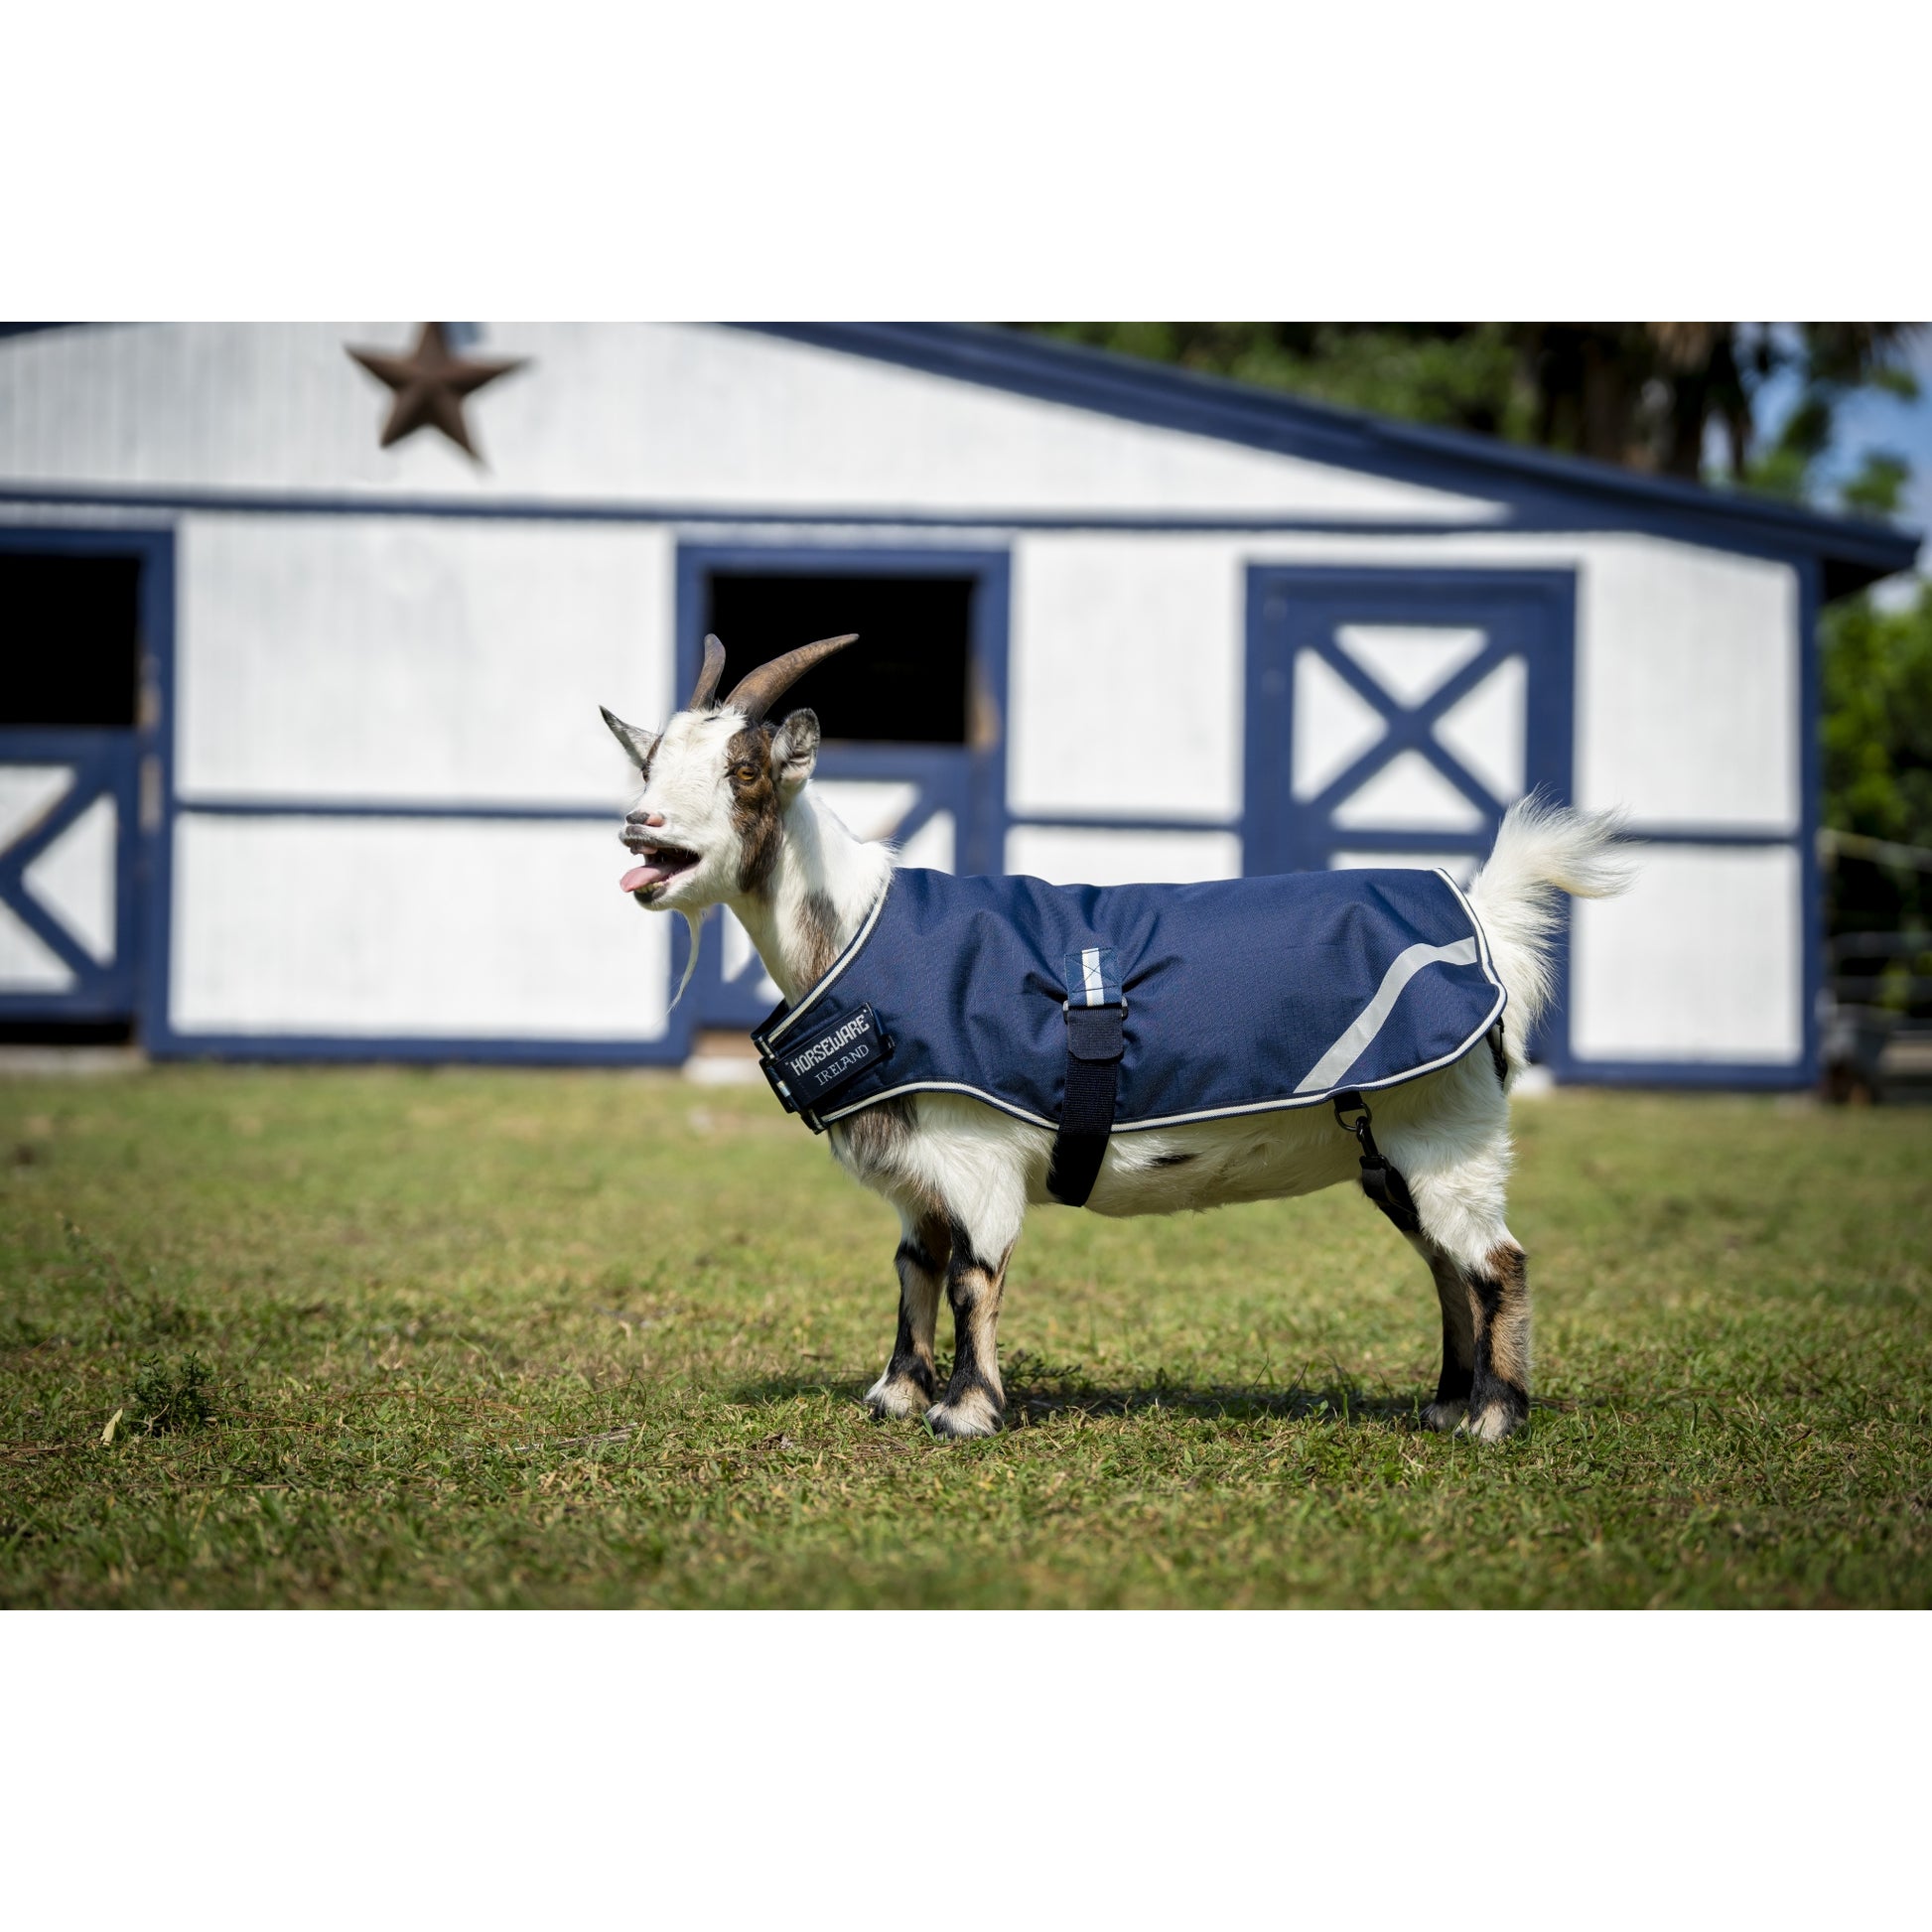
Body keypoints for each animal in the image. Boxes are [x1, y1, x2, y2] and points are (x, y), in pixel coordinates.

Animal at [603, 632, 1632, 1442]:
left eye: (743, 771)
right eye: (649, 764)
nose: (638, 828)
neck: (861, 929)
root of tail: (1481, 916)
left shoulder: (976, 1154)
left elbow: (974, 1275)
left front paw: (966, 1412)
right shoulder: (917, 1175)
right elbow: (914, 1270)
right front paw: (895, 1395)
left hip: (1447, 1129)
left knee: (1494, 1262)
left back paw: (1493, 1418)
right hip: (1391, 1149)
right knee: (1445, 1266)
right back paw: (1447, 1404)